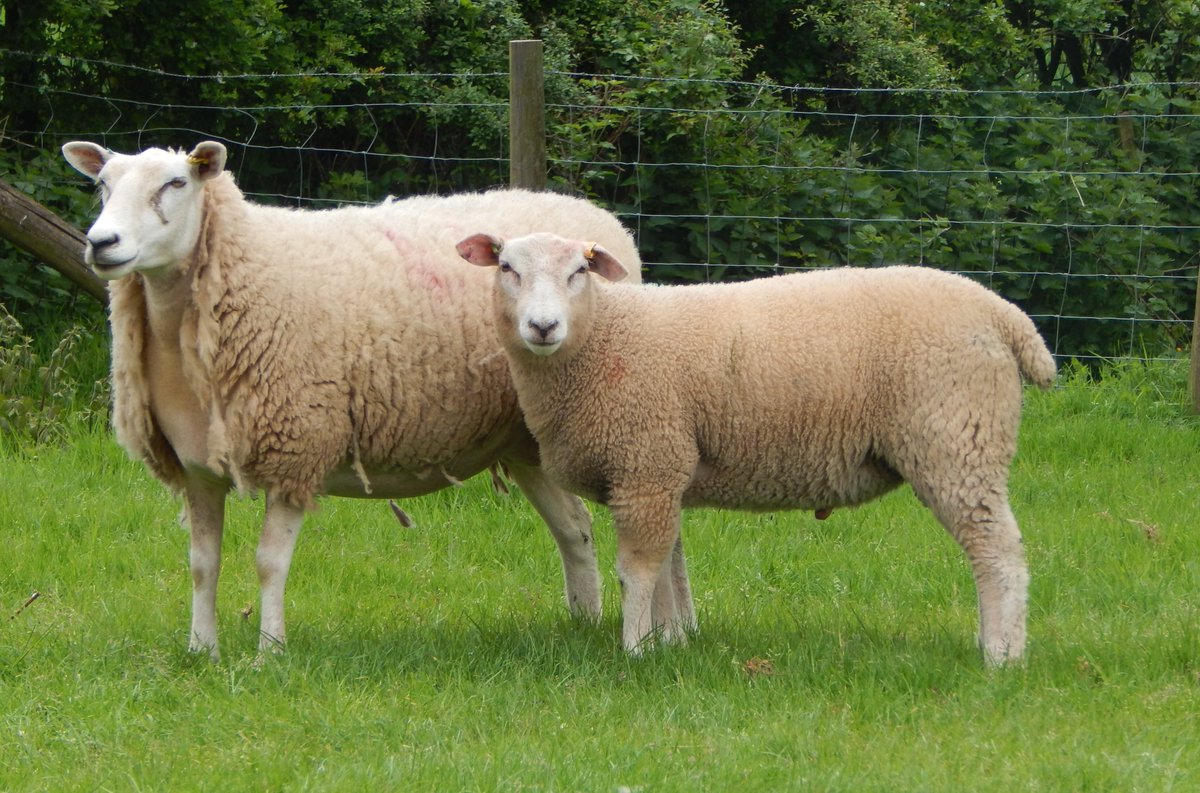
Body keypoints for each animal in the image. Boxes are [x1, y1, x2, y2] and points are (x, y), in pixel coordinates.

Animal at [61, 140, 656, 660]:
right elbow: (202, 564)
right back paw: (582, 622)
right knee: (574, 528)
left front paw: (269, 653)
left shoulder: (297, 447)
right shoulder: (197, 466)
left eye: (175, 183)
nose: (101, 243)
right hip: (524, 437)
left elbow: (269, 563)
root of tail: (603, 221)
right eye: (102, 184)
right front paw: (201, 651)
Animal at [457, 230, 1058, 667]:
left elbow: (638, 571)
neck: (604, 337)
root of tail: (1005, 315)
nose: (542, 326)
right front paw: (670, 642)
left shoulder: (645, 464)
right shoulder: (665, 471)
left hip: (956, 439)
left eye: (578, 272)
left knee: (998, 552)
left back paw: (1001, 656)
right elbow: (672, 567)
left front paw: (635, 651)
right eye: (506, 268)